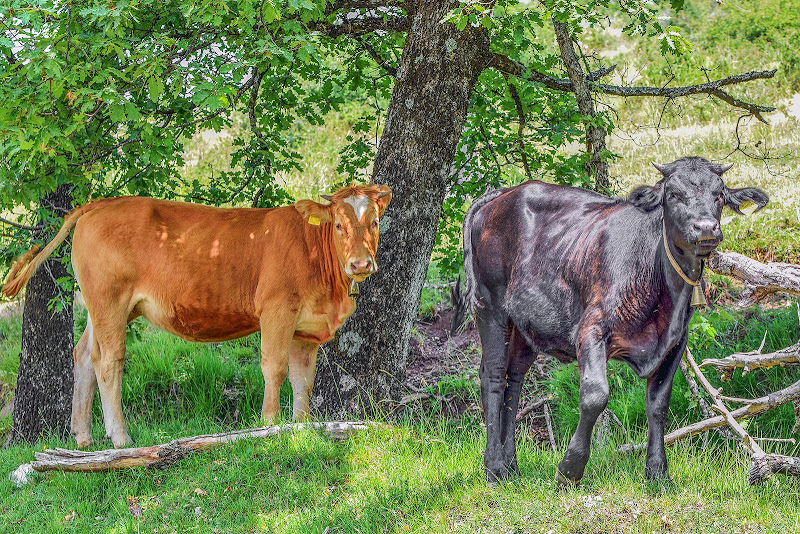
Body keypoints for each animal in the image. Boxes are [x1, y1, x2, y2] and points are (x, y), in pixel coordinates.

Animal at [2, 186, 390, 450]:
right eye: (338, 225)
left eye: (374, 222)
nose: (360, 264)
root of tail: (104, 203)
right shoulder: (277, 310)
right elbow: (275, 368)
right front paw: (270, 424)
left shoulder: (306, 328)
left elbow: (303, 380)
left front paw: (302, 426)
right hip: (109, 299)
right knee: (108, 361)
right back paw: (120, 438)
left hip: (104, 308)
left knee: (83, 356)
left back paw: (83, 437)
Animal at [462, 157, 768, 488]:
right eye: (673, 194)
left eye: (719, 195)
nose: (706, 227)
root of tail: (505, 193)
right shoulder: (591, 329)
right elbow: (595, 396)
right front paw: (569, 469)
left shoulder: (675, 342)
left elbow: (658, 404)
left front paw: (658, 472)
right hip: (490, 306)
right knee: (493, 376)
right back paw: (494, 468)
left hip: (526, 327)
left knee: (514, 380)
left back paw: (511, 468)